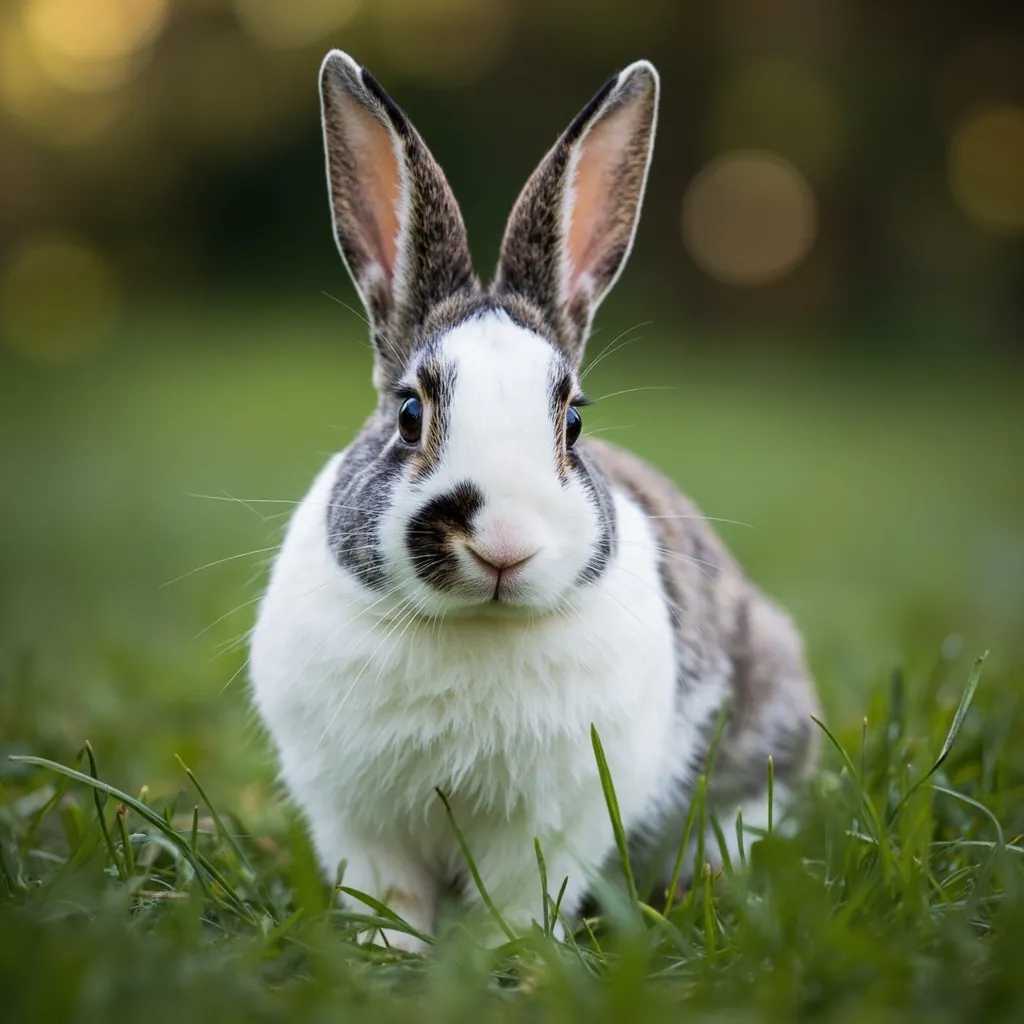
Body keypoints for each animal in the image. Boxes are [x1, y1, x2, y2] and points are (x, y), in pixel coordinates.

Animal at [249, 49, 821, 953]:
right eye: (409, 414)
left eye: (574, 421)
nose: (503, 544)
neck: (473, 626)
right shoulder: (357, 819)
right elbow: (388, 892)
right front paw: (391, 952)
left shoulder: (554, 824)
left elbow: (520, 898)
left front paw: (505, 958)